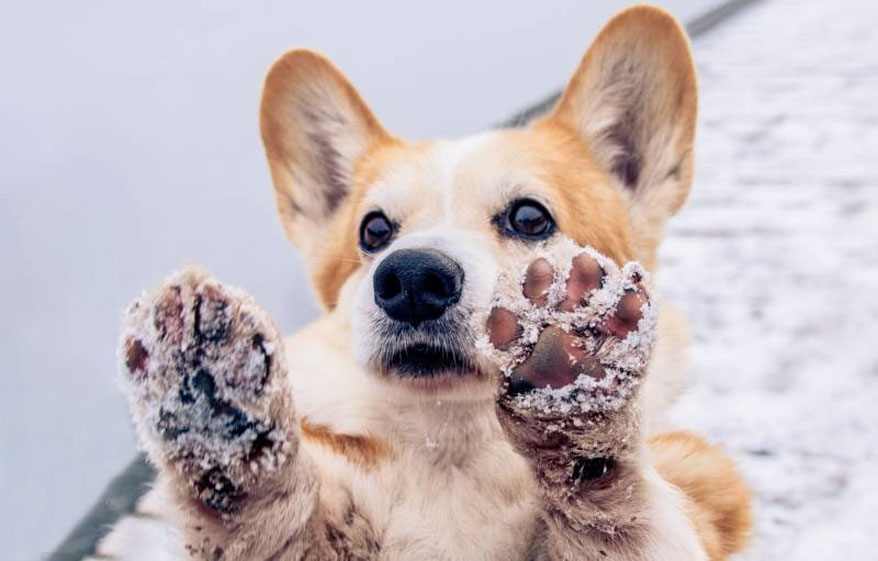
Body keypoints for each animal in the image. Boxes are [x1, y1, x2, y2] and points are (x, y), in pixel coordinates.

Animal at [98, 5, 756, 560]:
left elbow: (619, 512)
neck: (454, 451)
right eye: (373, 230)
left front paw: (574, 382)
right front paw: (217, 403)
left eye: (529, 217)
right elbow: (275, 520)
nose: (412, 278)